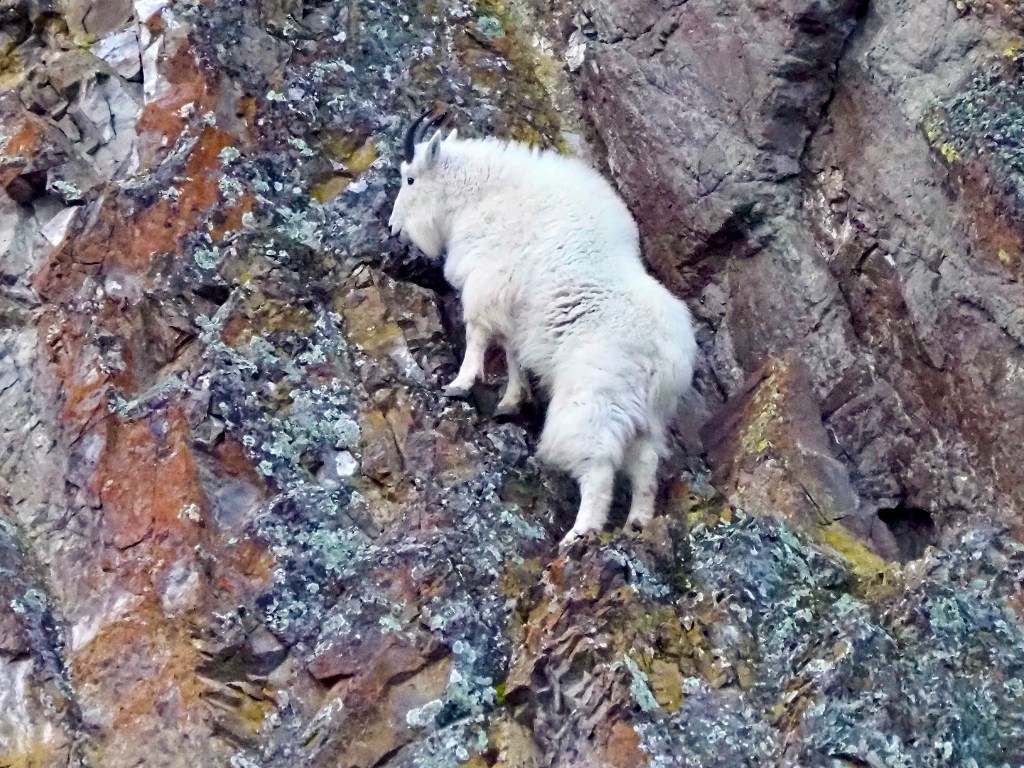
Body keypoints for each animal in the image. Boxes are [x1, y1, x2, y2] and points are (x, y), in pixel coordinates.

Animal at [388, 110, 697, 546]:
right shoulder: (518, 310)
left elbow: (479, 335)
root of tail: (669, 357)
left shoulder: (490, 281)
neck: (482, 192)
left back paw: (578, 535)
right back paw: (636, 523)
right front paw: (509, 402)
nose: (393, 228)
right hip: (648, 415)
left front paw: (460, 384)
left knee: (599, 469)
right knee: (645, 465)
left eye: (411, 179)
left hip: (594, 401)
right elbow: (514, 352)